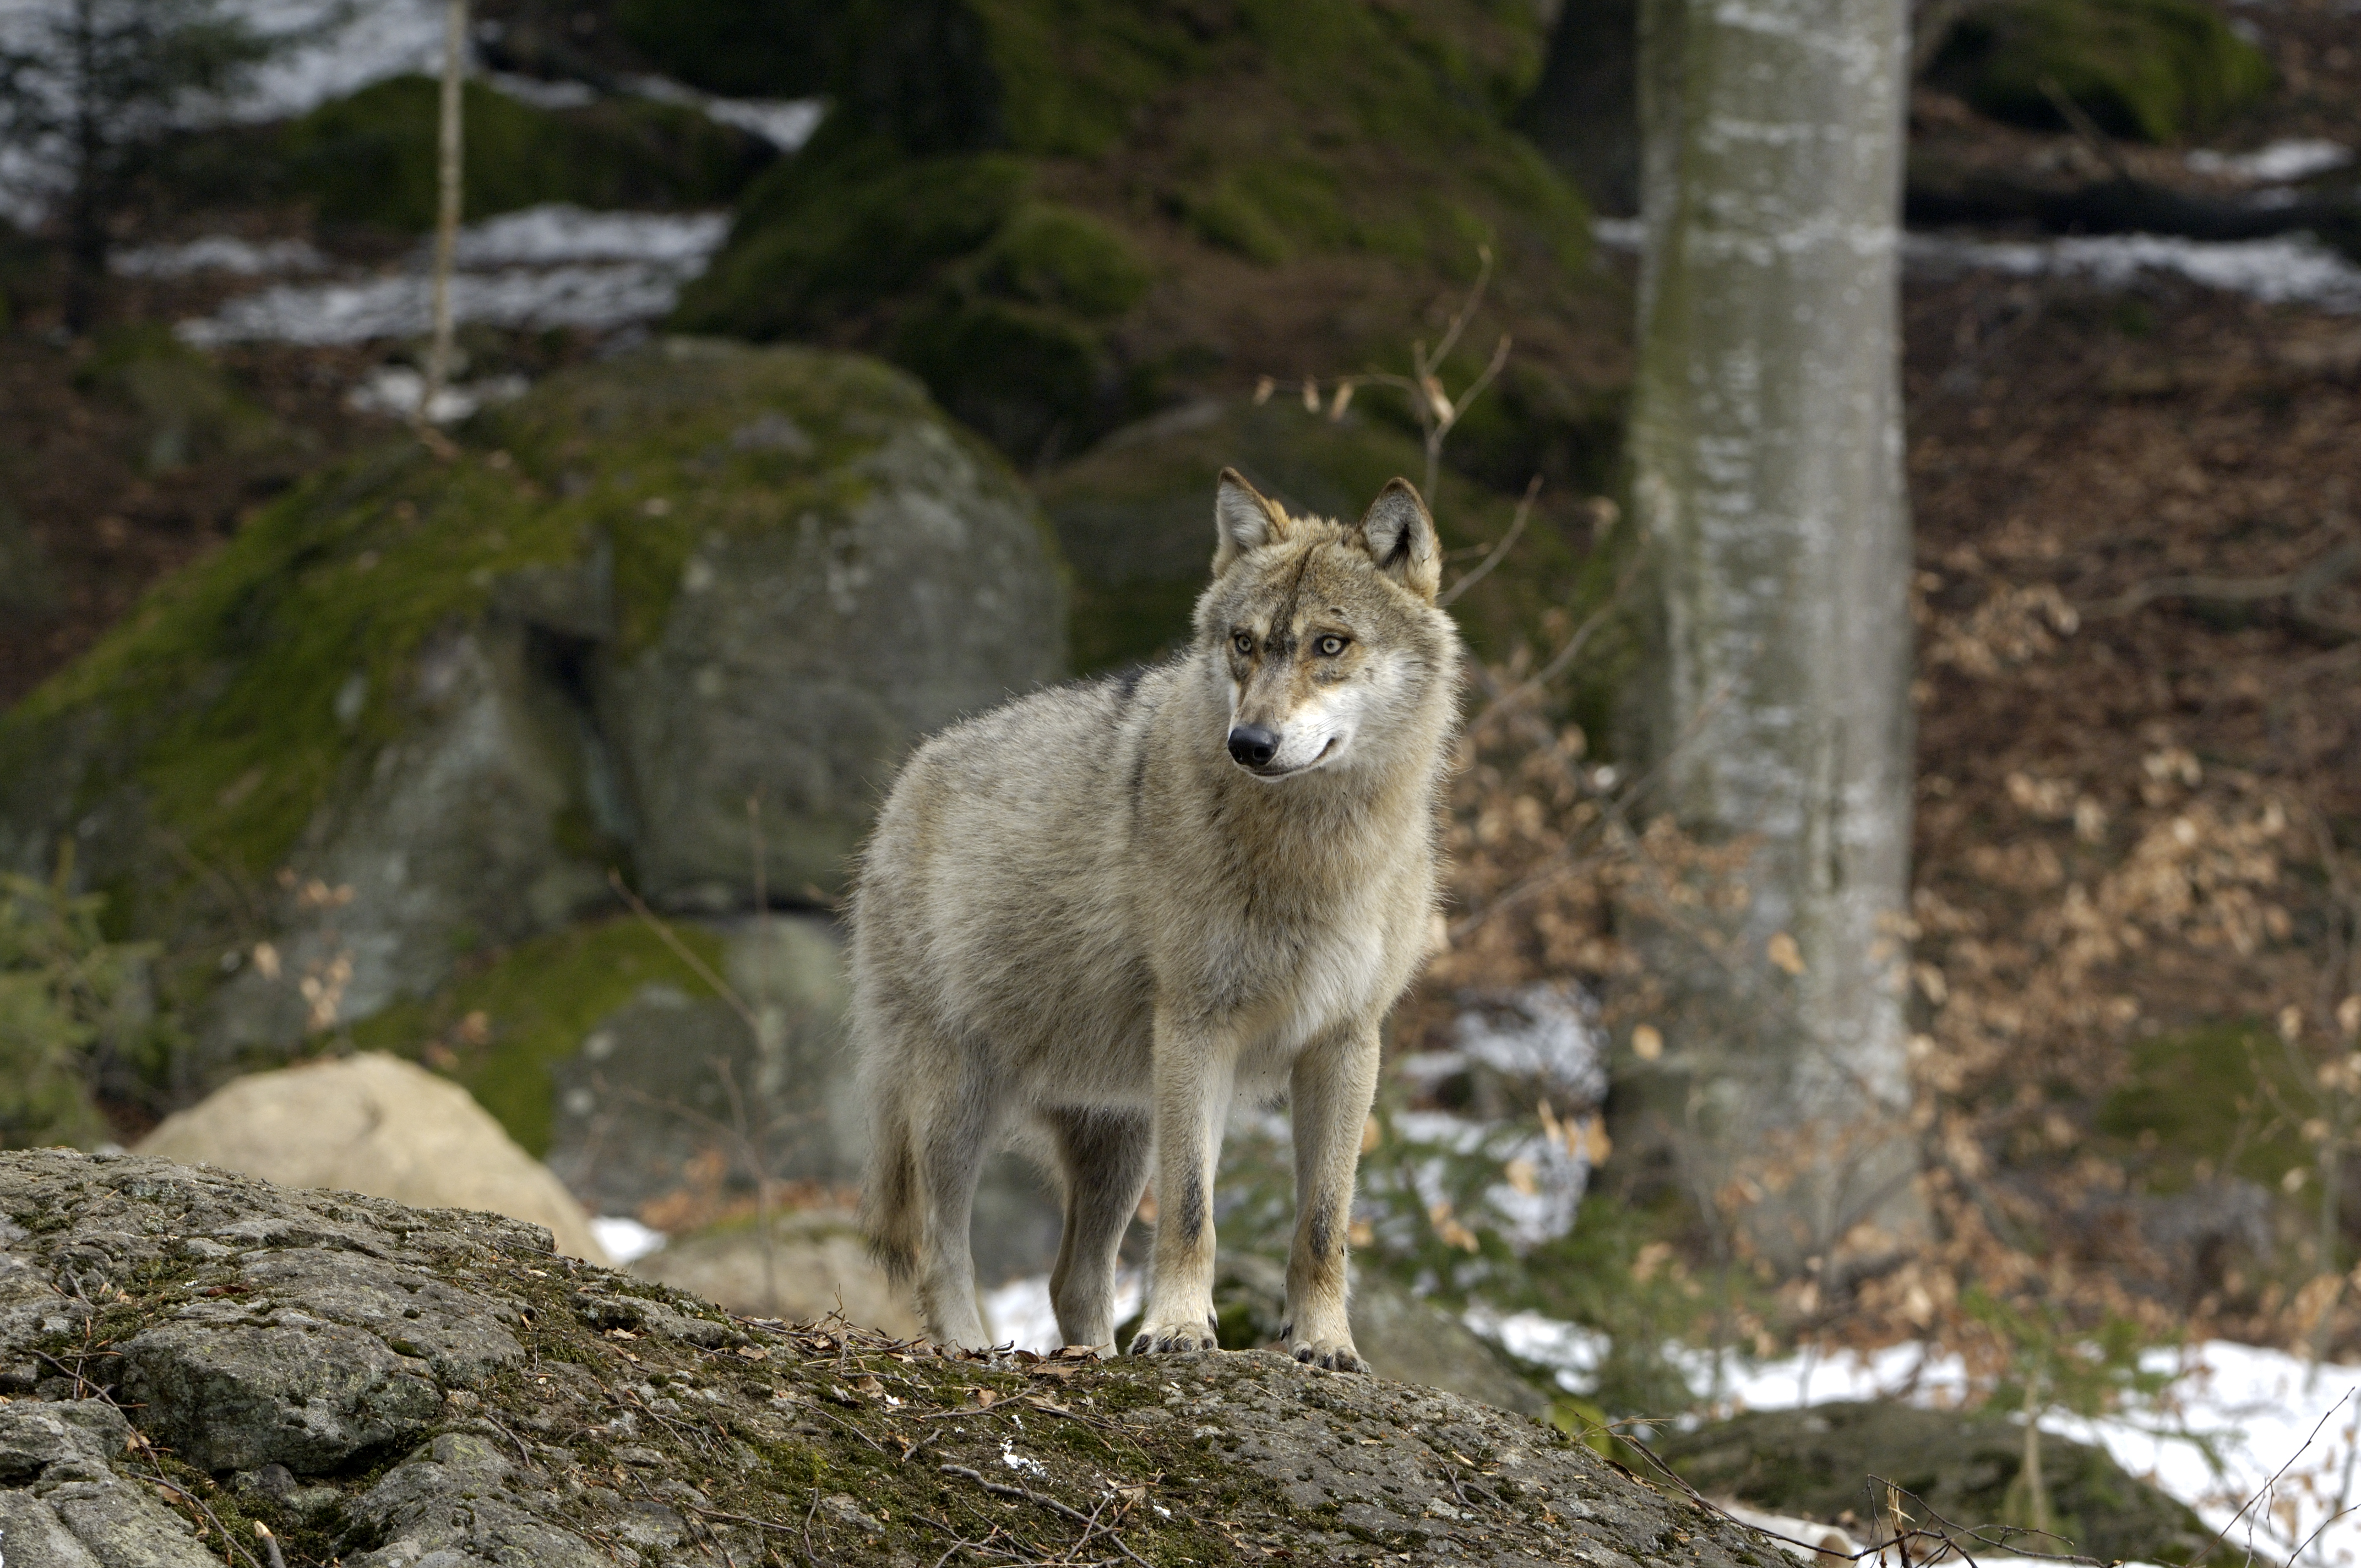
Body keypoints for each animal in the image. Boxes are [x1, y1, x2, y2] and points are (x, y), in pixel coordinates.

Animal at [859, 467, 1464, 1369]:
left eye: (1330, 645)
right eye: (1244, 643)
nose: (1249, 743)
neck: (1313, 857)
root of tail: (910, 777)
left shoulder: (1347, 1043)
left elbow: (1324, 1225)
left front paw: (1327, 1345)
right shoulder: (1196, 1027)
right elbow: (1191, 1213)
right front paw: (1180, 1330)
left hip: (1119, 1136)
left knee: (1072, 1280)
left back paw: (1099, 1357)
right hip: (958, 1106)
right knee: (942, 1253)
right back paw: (976, 1352)